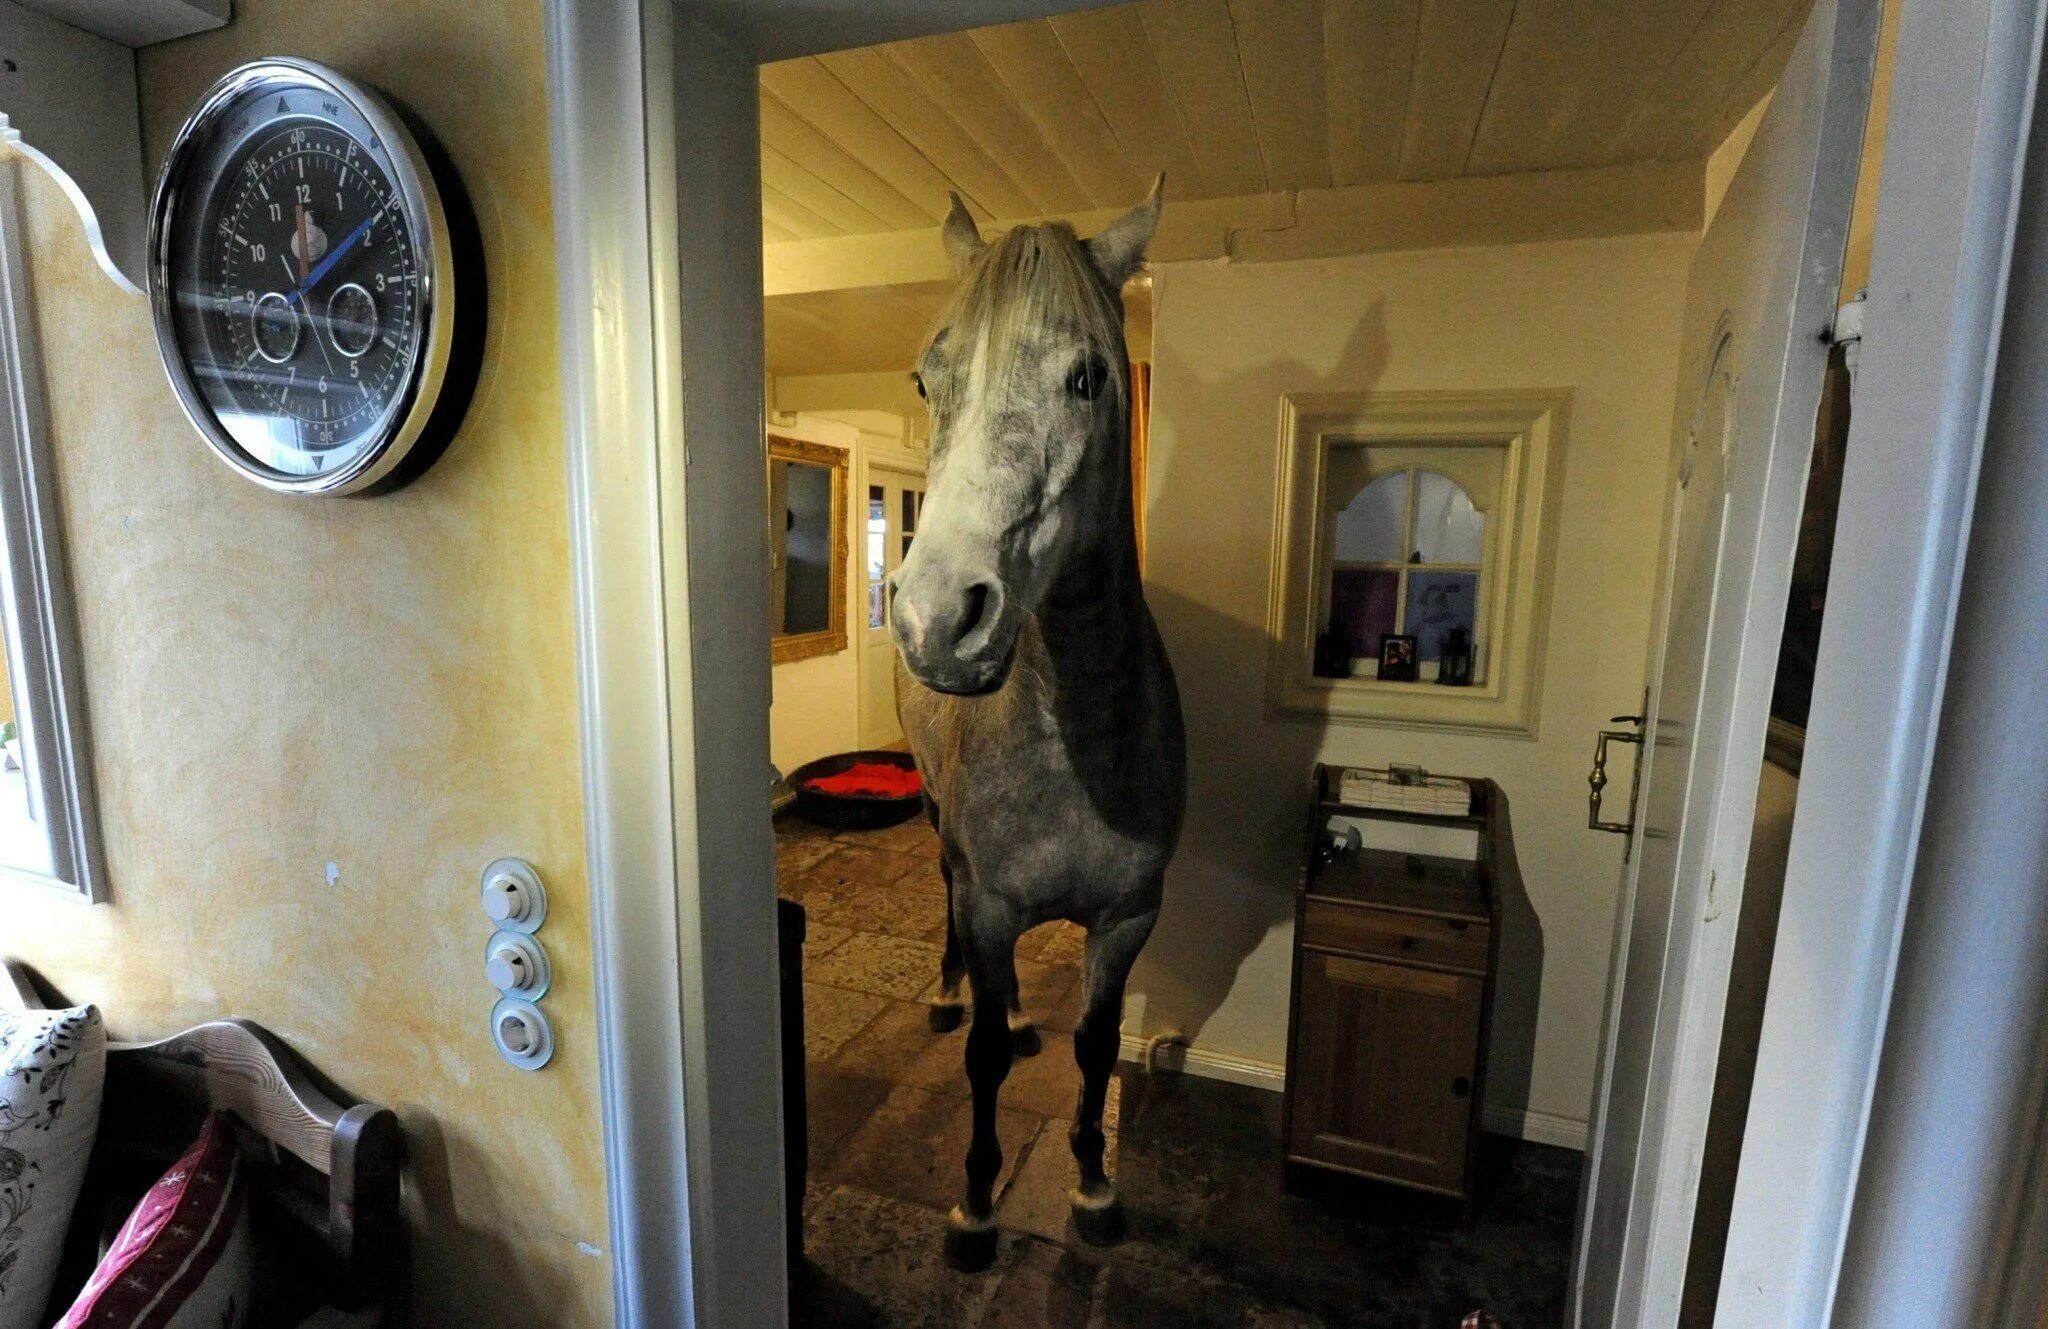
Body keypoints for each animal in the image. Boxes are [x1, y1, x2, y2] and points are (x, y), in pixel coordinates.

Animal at [888, 181, 1196, 1269]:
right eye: (926, 378)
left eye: (1087, 377)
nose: (936, 617)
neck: (1075, 742)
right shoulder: (988, 902)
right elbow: (981, 1058)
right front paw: (975, 1205)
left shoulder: (1129, 917)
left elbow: (1096, 1048)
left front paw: (1095, 1185)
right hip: (940, 830)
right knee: (949, 909)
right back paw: (950, 994)